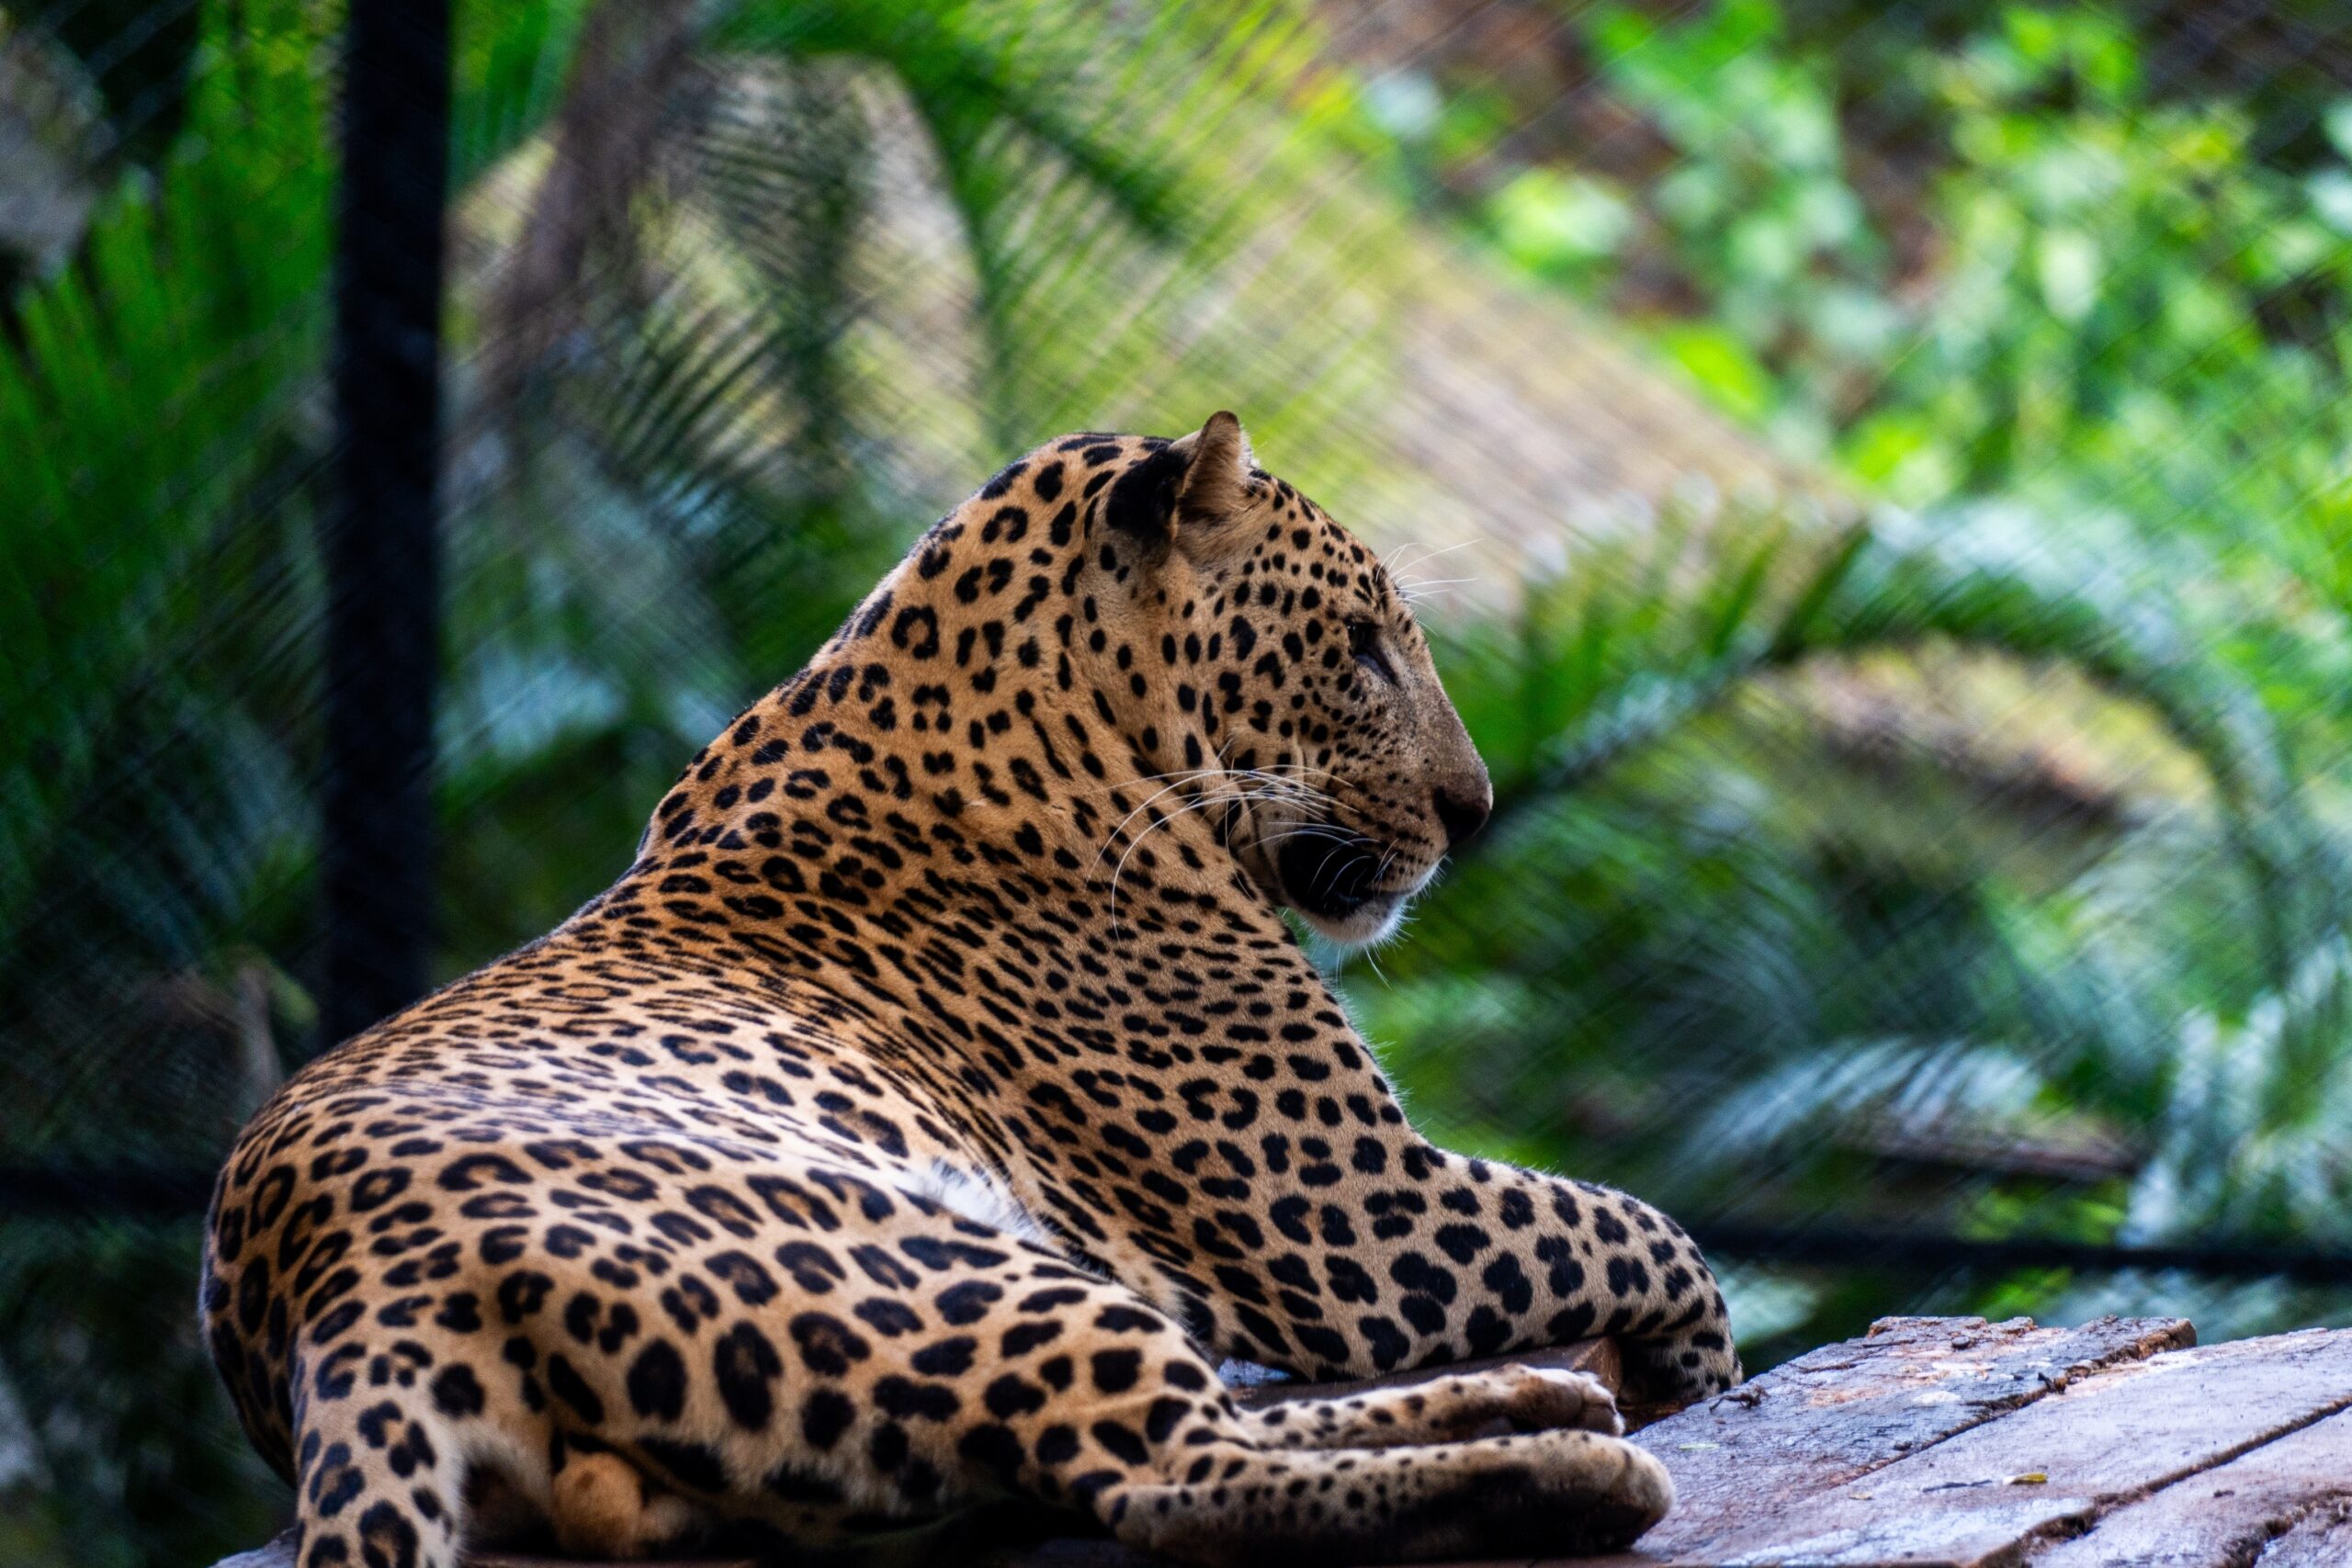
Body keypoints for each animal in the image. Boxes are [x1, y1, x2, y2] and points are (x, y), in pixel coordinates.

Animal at [202, 413, 1740, 1568]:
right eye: (1360, 643)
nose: (1471, 811)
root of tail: (340, 1293)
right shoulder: (1355, 1210)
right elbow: (1635, 1221)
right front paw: (1701, 1361)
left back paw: (1544, 1400)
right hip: (931, 1259)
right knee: (1167, 1472)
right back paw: (1572, 1465)